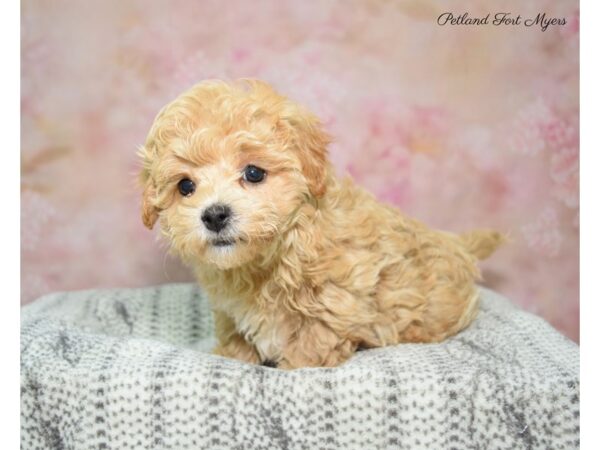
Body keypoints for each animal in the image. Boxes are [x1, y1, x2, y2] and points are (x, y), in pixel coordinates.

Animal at [138, 80, 504, 370]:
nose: (215, 215)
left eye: (254, 172)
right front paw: (231, 357)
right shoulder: (230, 312)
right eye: (185, 186)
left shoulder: (338, 299)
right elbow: (236, 339)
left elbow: (311, 345)